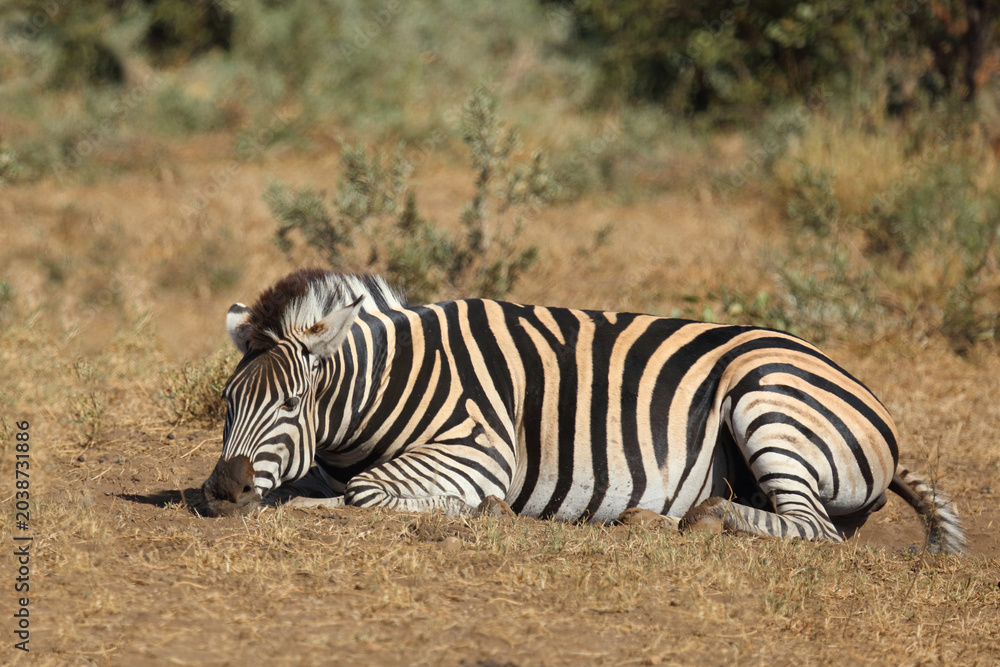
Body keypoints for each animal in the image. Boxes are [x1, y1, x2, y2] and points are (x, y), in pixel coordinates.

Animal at [201, 268, 965, 554]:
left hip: (765, 399)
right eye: (228, 402)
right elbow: (322, 485)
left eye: (291, 401)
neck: (398, 380)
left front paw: (472, 511)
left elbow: (362, 491)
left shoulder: (478, 449)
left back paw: (701, 517)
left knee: (814, 528)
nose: (222, 491)